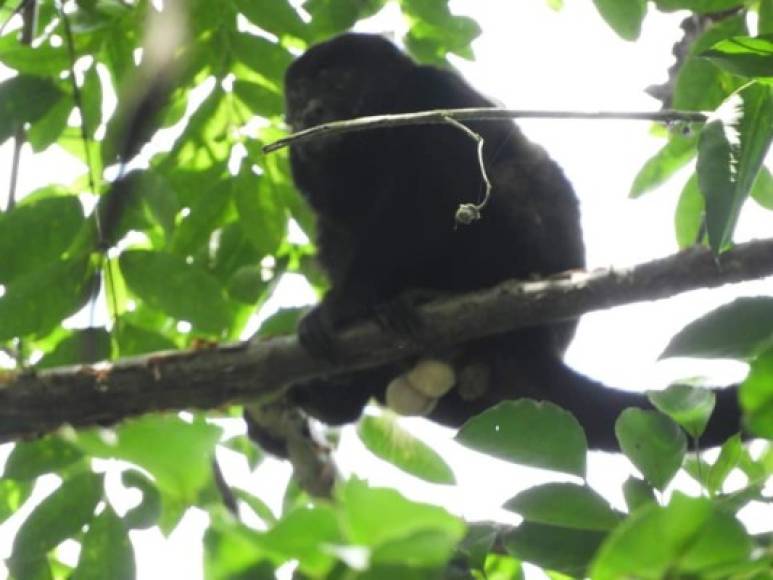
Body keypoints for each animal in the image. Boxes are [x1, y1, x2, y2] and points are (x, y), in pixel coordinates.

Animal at [278, 31, 740, 450]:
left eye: (337, 81)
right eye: (299, 94)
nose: (308, 111)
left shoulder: (429, 92)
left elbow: (426, 189)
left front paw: (343, 306)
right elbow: (337, 217)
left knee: (494, 175)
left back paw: (430, 296)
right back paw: (339, 394)